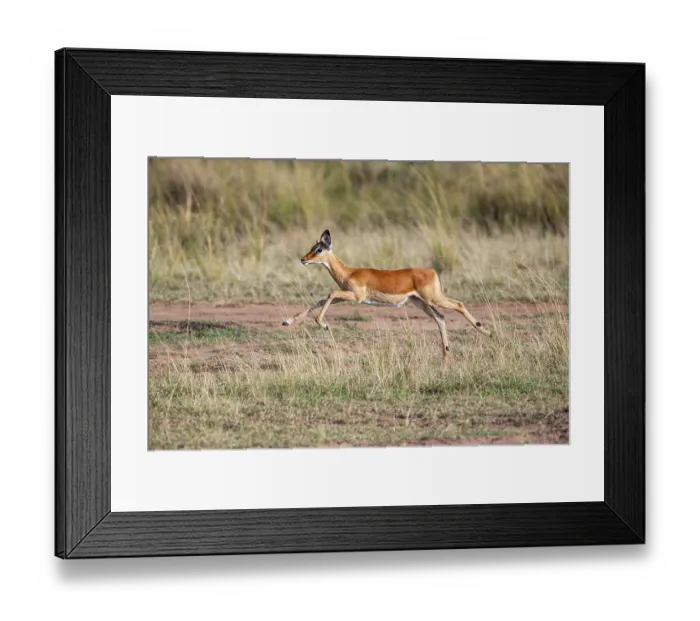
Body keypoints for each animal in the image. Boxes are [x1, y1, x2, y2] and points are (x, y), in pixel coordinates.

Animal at [282, 230, 491, 356]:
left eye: (319, 249)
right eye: (311, 248)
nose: (303, 259)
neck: (349, 272)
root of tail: (432, 271)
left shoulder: (356, 297)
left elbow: (330, 293)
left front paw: (324, 325)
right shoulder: (344, 296)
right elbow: (320, 300)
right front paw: (287, 321)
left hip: (433, 299)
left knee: (459, 305)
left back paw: (486, 331)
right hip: (420, 302)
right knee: (440, 318)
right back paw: (446, 352)